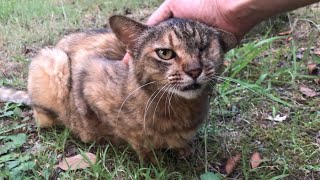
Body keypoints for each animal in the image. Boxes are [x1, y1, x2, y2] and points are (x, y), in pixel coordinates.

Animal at [0, 15, 235, 162]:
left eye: (203, 48)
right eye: (165, 53)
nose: (195, 70)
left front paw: (184, 148)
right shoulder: (90, 83)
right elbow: (134, 136)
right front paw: (152, 159)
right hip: (53, 59)